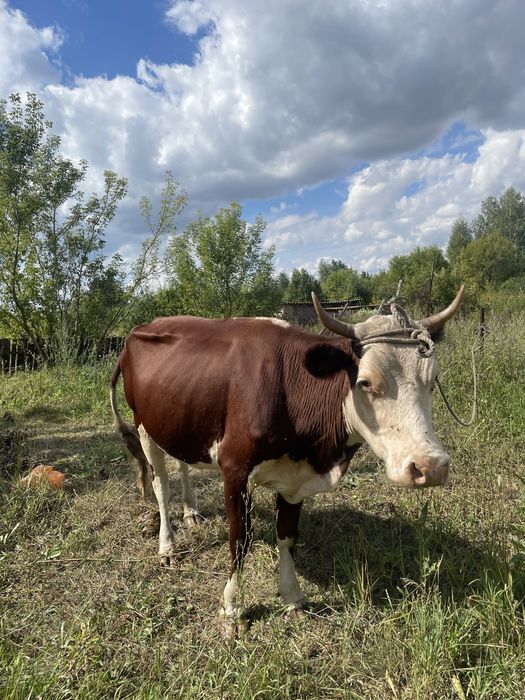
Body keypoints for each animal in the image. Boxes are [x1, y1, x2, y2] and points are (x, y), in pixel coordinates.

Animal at [110, 286, 464, 636]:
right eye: (365, 382)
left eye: (433, 379)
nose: (430, 466)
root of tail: (142, 328)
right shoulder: (235, 469)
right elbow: (240, 539)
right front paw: (232, 609)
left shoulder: (297, 478)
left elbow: (288, 536)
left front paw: (293, 597)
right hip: (143, 424)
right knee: (160, 484)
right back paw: (168, 547)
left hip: (178, 421)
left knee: (182, 463)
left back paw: (191, 512)